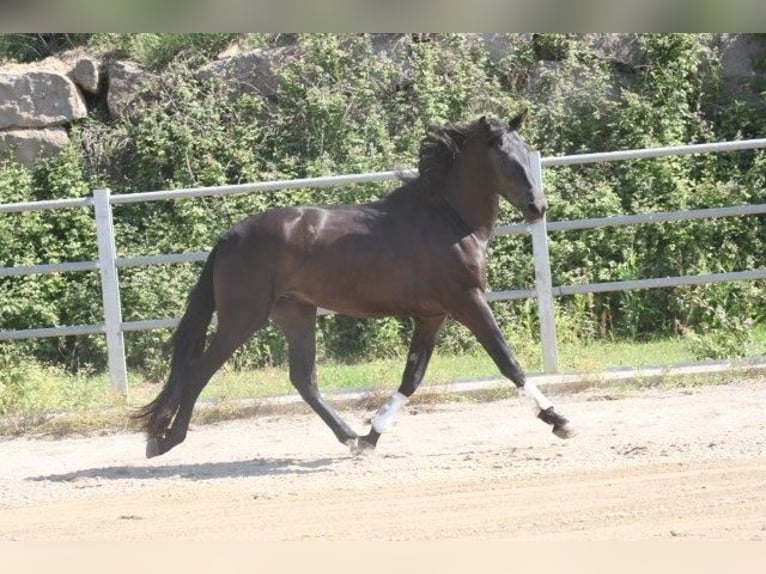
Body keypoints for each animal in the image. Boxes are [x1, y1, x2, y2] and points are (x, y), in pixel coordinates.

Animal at [135, 110, 576, 460]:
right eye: (503, 155)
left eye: (525, 149)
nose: (538, 207)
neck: (446, 219)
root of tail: (230, 237)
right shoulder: (467, 301)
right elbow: (508, 362)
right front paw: (559, 420)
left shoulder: (432, 315)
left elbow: (411, 378)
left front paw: (371, 437)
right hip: (242, 318)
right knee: (198, 371)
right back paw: (166, 440)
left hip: (295, 313)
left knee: (304, 380)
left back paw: (349, 438)